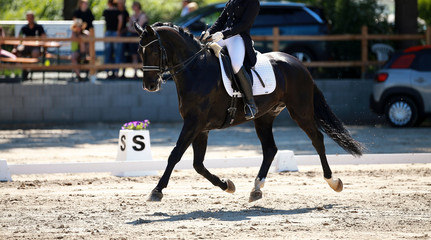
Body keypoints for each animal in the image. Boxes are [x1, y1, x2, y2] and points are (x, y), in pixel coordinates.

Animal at [135, 23, 364, 202]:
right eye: (139, 51)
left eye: (154, 51)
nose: (149, 85)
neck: (196, 70)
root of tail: (298, 63)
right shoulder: (200, 128)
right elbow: (198, 164)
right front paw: (227, 185)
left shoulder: (194, 123)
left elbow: (175, 155)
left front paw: (156, 191)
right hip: (264, 117)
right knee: (270, 149)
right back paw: (256, 189)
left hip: (300, 111)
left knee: (317, 139)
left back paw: (333, 181)